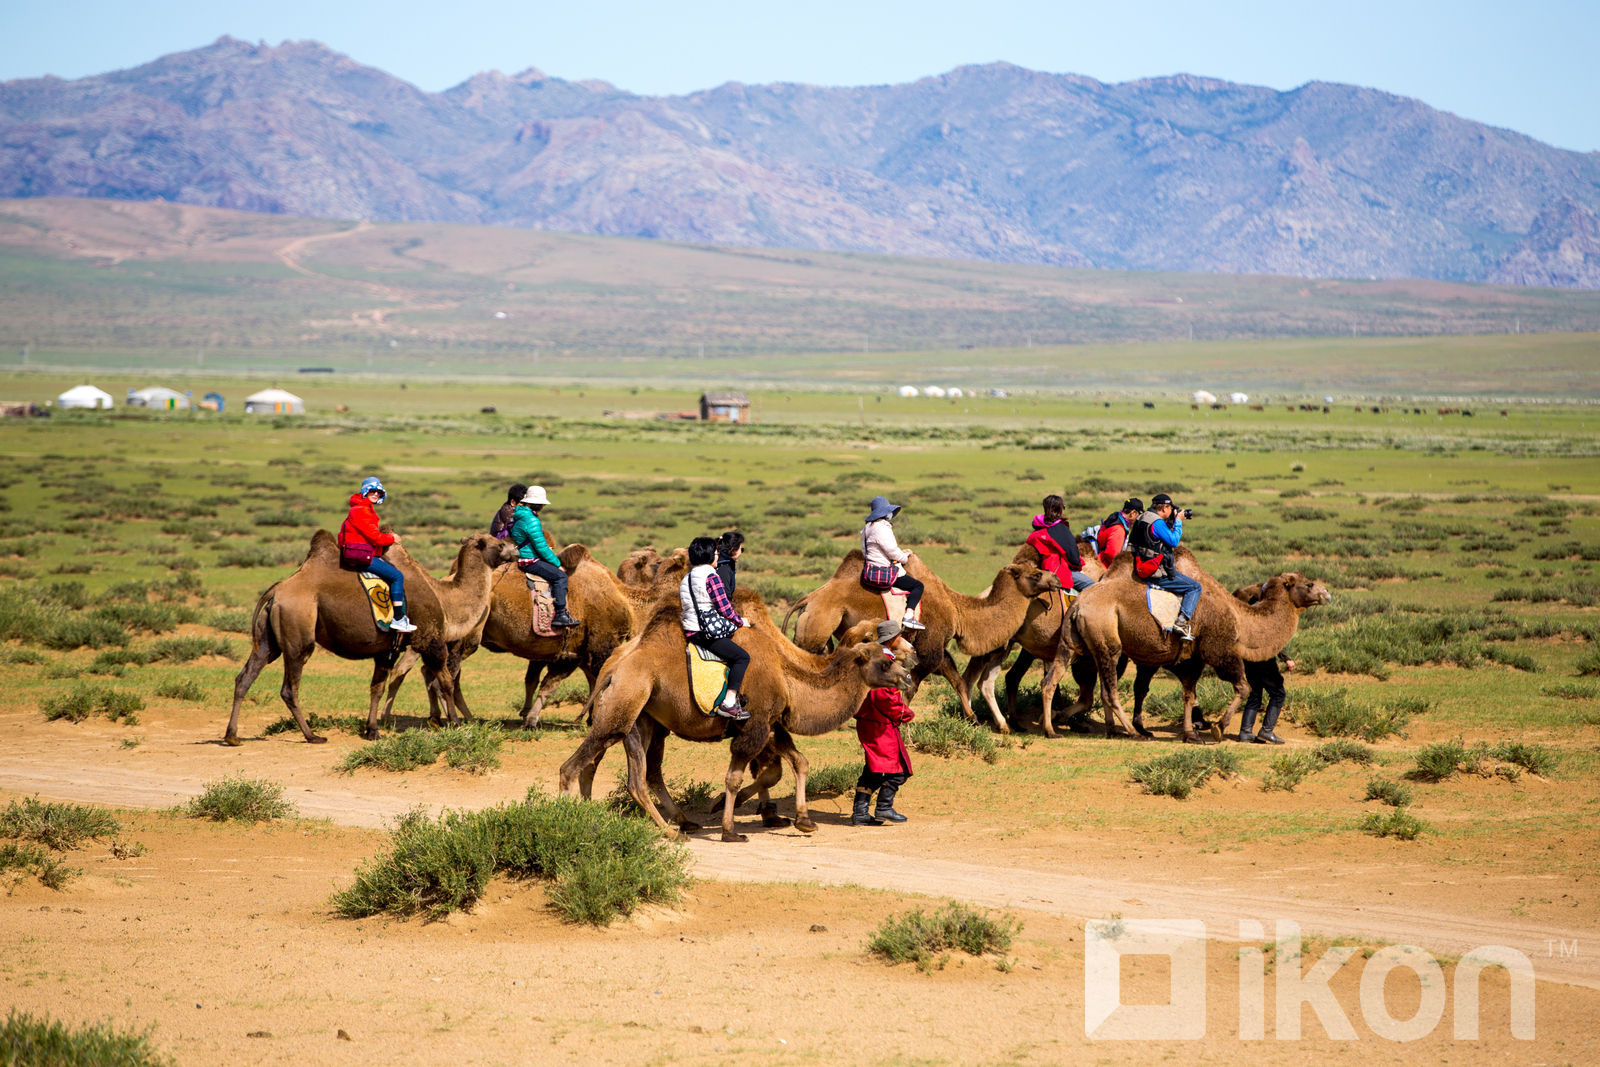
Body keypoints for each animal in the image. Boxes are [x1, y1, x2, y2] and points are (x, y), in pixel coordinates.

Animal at [220, 531, 512, 748]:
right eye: (499, 543)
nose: (516, 549)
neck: (445, 599)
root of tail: (277, 591)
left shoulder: (387, 649)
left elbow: (377, 687)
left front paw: (372, 730)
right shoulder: (430, 641)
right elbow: (446, 683)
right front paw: (455, 723)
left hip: (267, 640)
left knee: (245, 676)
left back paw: (232, 736)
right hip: (298, 634)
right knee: (289, 687)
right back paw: (312, 735)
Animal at [560, 591, 915, 844]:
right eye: (885, 660)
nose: (906, 675)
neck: (788, 673)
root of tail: (613, 668)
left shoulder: (770, 724)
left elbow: (796, 764)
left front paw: (803, 820)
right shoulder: (755, 725)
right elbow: (736, 777)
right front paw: (729, 827)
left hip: (641, 720)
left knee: (633, 773)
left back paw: (669, 824)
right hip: (624, 706)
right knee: (576, 766)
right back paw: (579, 820)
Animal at [787, 550, 1062, 726]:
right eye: (1036, 574)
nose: (1057, 579)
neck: (957, 610)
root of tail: (807, 600)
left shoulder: (936, 644)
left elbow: (955, 677)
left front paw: (972, 718)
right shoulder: (931, 643)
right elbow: (914, 684)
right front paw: (902, 720)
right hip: (815, 630)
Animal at [1036, 556, 1324, 748]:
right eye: (1309, 584)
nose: (1326, 593)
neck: (1240, 619)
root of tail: (1079, 604)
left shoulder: (1193, 660)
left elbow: (1188, 694)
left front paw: (1191, 734)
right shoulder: (1218, 651)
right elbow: (1243, 687)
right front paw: (1218, 728)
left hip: (1072, 643)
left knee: (1051, 680)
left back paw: (1054, 728)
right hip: (1109, 644)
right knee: (1109, 691)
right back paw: (1132, 732)